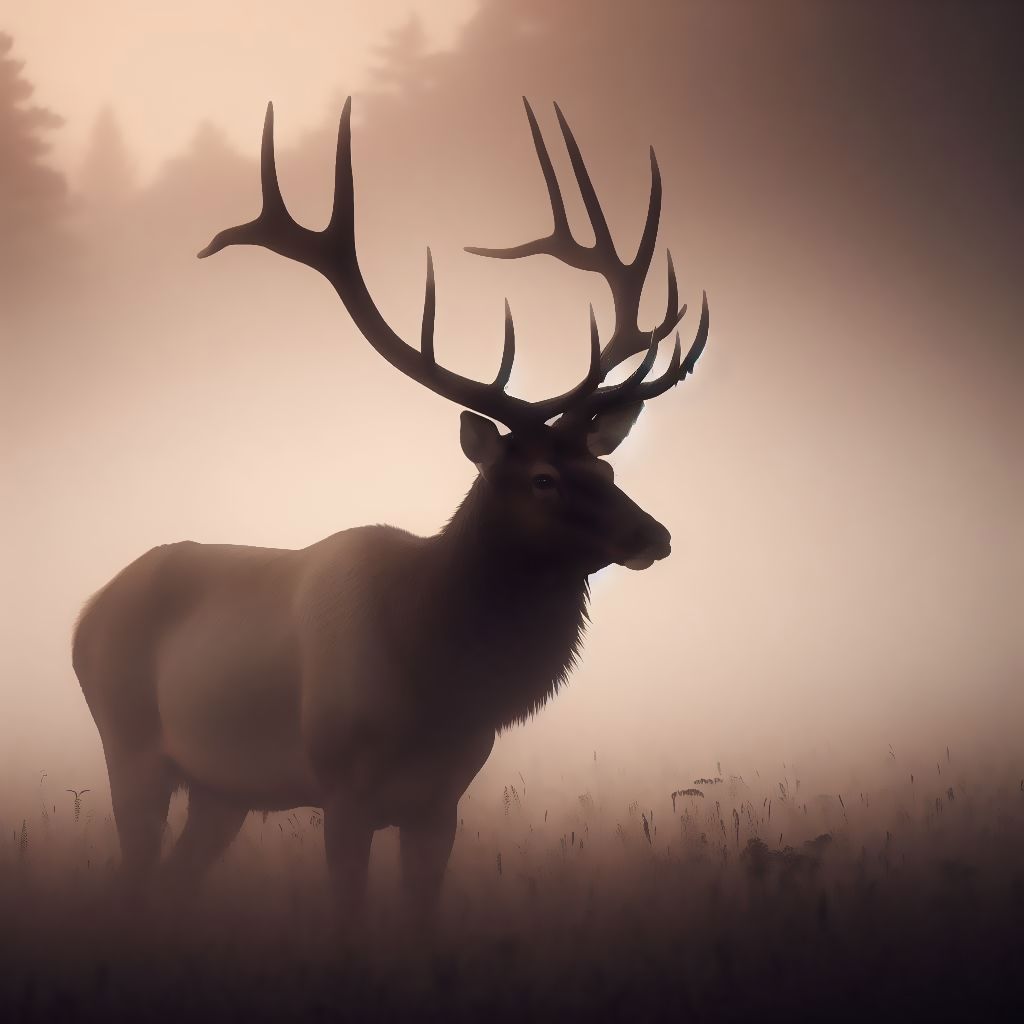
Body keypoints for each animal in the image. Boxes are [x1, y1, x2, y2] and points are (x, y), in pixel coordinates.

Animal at [71, 97, 709, 922]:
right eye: (543, 478)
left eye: (602, 465)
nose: (653, 534)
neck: (442, 685)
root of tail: (86, 615)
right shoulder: (342, 790)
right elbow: (349, 921)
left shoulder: (441, 803)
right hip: (131, 749)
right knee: (133, 883)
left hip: (222, 791)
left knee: (173, 886)